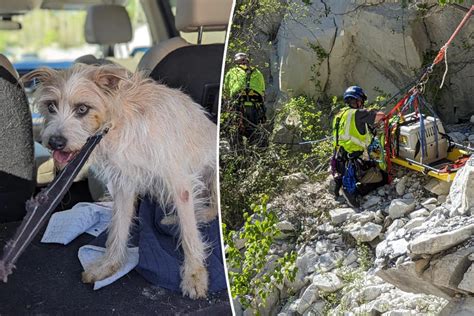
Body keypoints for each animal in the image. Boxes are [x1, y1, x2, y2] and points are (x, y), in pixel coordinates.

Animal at [23, 65, 218, 298]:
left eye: (82, 109)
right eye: (51, 106)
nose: (55, 142)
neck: (120, 120)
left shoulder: (179, 182)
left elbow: (189, 233)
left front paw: (194, 274)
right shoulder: (125, 183)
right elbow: (118, 227)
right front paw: (109, 265)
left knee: (211, 210)